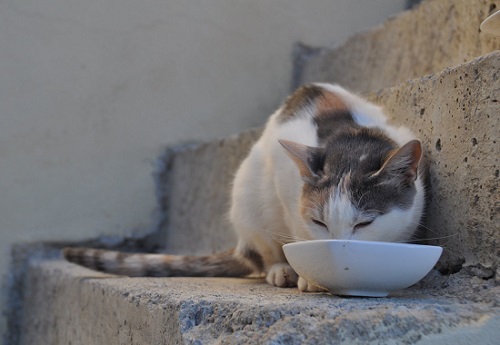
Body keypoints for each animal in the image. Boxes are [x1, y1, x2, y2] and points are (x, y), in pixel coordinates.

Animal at [63, 82, 426, 290]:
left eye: (365, 223)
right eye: (319, 222)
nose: (336, 252)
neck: (352, 137)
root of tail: (239, 243)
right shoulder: (286, 186)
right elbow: (298, 233)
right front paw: (310, 275)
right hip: (248, 193)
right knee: (263, 251)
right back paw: (281, 271)